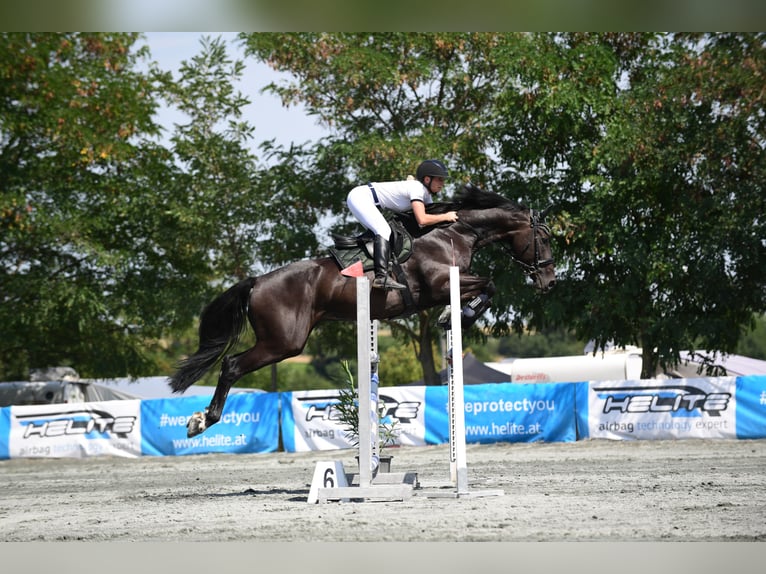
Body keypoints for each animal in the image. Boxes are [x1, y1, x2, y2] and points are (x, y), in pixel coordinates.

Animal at [170, 184, 560, 436]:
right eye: (543, 238)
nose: (550, 282)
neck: (455, 231)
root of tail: (257, 282)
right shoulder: (440, 284)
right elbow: (489, 284)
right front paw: (457, 315)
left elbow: (488, 286)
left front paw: (455, 315)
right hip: (284, 342)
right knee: (232, 365)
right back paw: (202, 420)